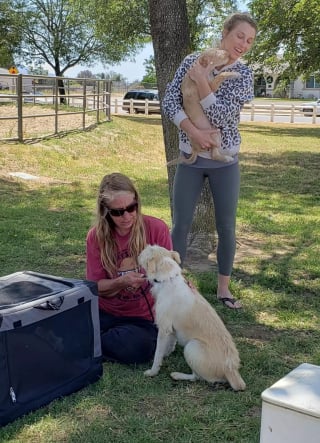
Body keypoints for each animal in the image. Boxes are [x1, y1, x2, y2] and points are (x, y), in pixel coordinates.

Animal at [138, 245, 245, 394]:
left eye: (147, 251)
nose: (141, 250)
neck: (168, 279)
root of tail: (232, 370)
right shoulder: (171, 330)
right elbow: (169, 345)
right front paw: (166, 355)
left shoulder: (164, 329)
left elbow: (158, 353)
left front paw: (153, 371)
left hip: (192, 346)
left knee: (198, 378)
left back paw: (177, 375)